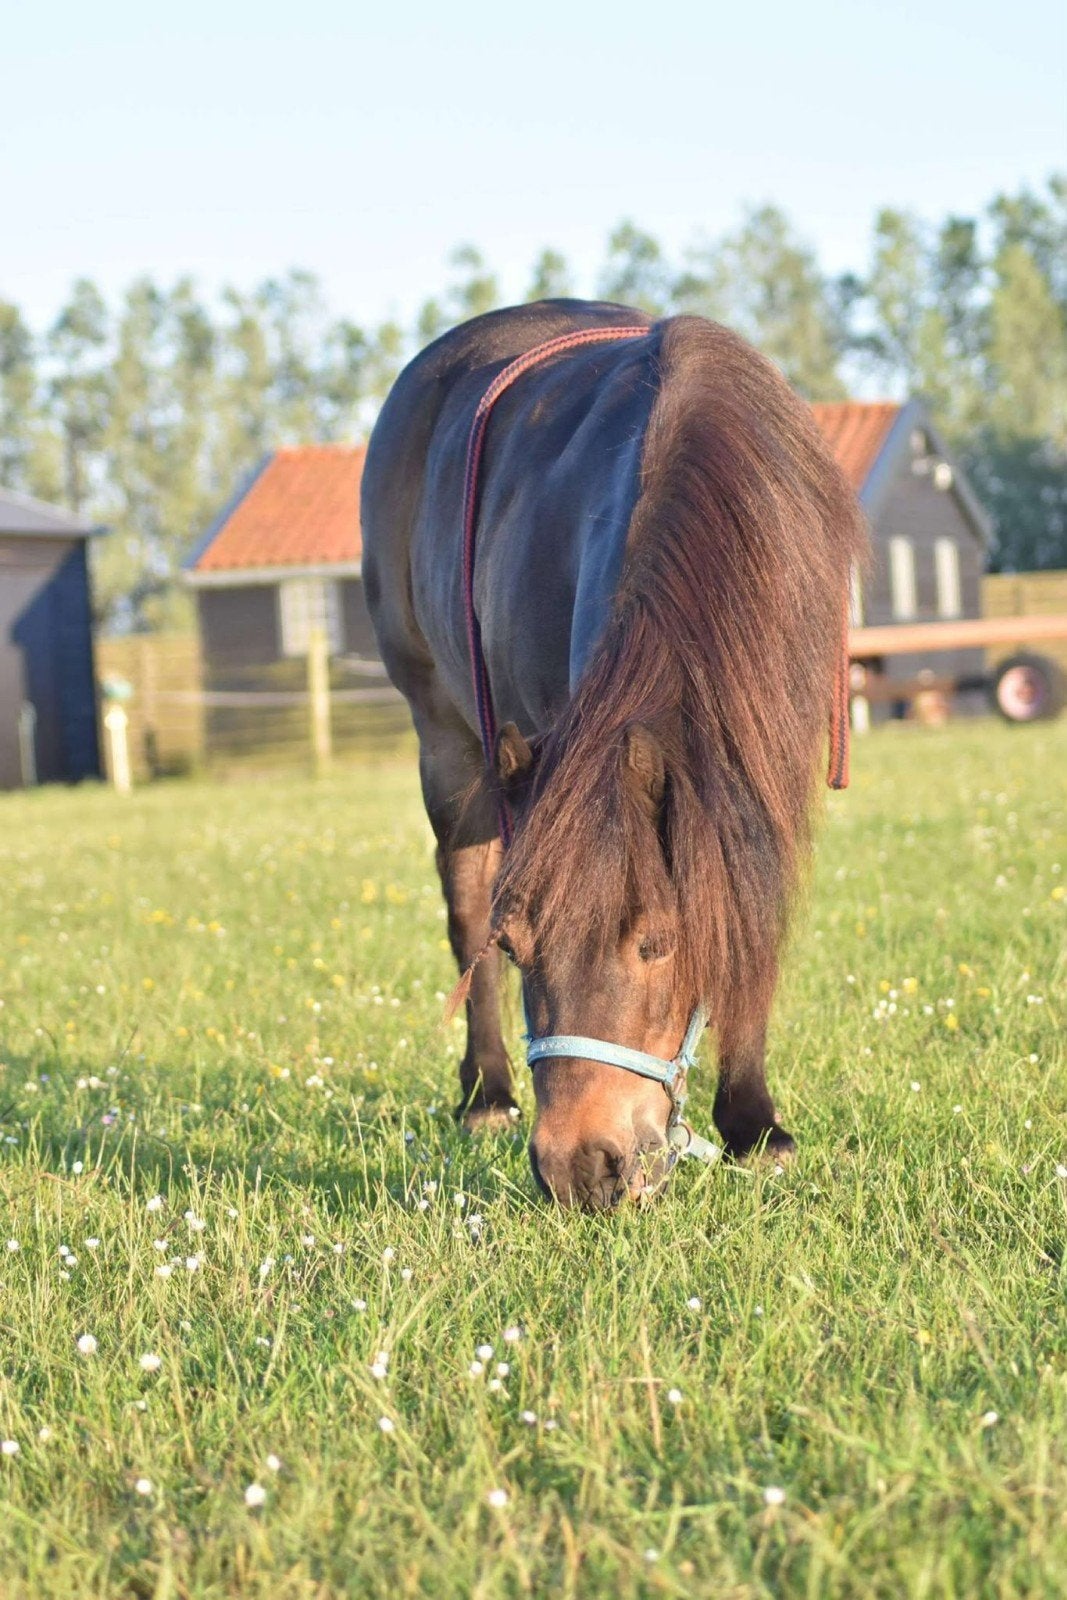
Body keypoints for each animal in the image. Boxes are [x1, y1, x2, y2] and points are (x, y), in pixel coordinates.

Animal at [361, 300, 865, 1208]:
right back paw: (485, 1093)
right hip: (447, 744)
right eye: (519, 949)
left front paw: (755, 1125)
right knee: (462, 904)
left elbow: (751, 915)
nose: (579, 1170)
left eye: (657, 942)